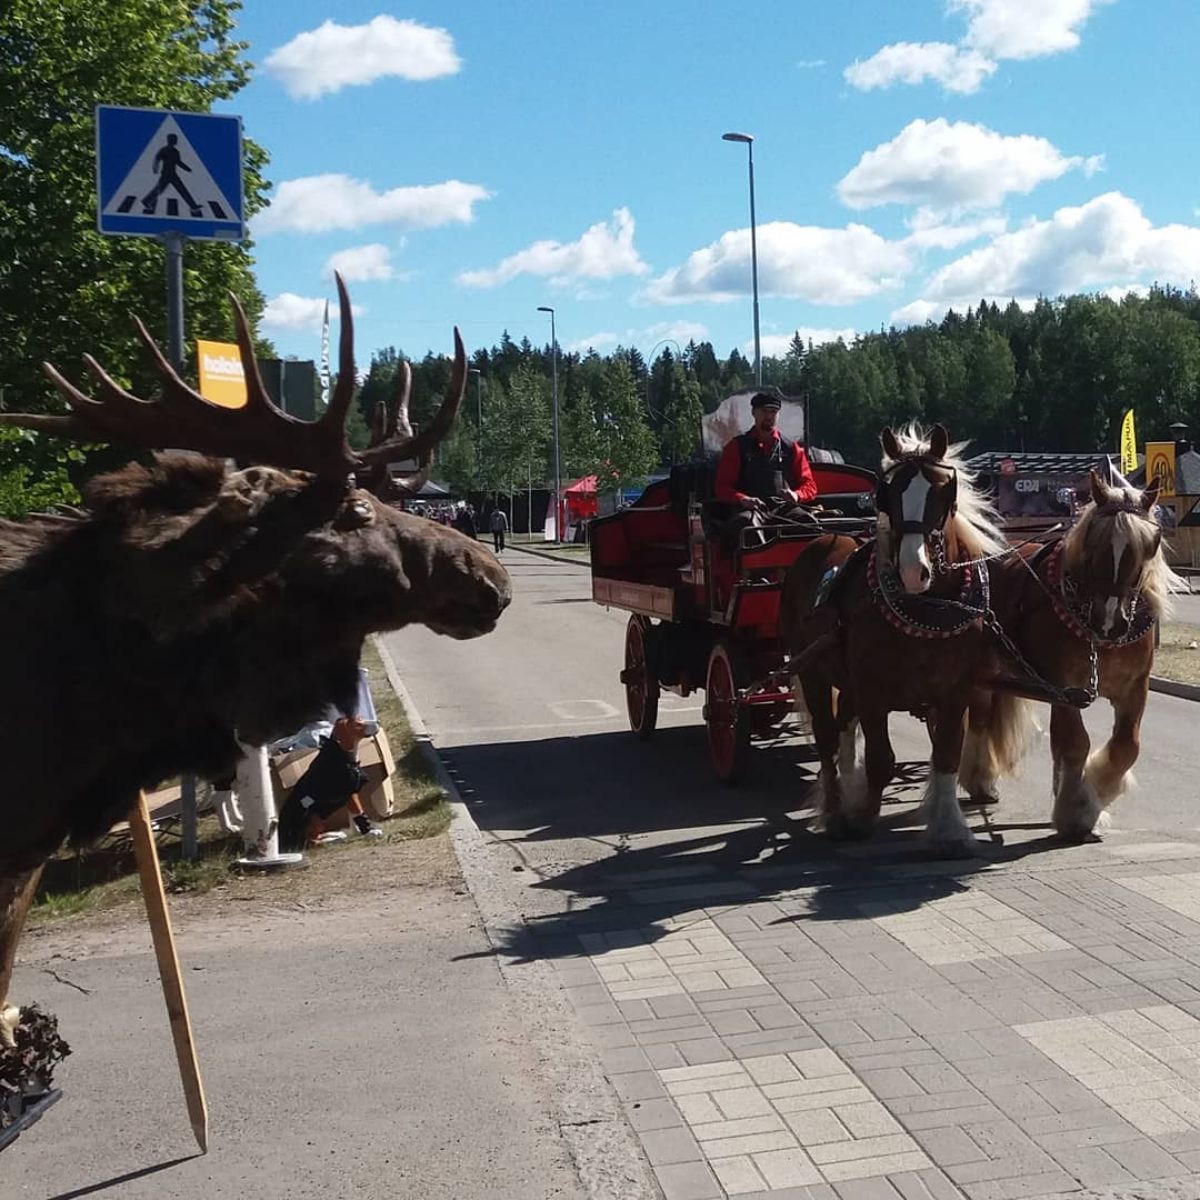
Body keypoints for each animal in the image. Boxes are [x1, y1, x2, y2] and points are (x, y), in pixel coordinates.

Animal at [782, 427, 1027, 859]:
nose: (915, 571)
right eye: (887, 494)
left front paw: (949, 829)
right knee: (827, 740)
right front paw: (862, 816)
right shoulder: (872, 690)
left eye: (945, 491)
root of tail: (821, 536)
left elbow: (946, 752)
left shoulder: (955, 690)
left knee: (843, 730)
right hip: (811, 670)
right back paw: (835, 812)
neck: (927, 607)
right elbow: (882, 759)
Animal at [964, 463, 1180, 840]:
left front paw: (1094, 792)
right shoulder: (1066, 688)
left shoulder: (1134, 689)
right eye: (1093, 540)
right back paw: (980, 779)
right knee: (977, 718)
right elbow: (1075, 742)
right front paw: (1078, 808)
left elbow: (1126, 746)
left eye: (1151, 544)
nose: (1110, 622)